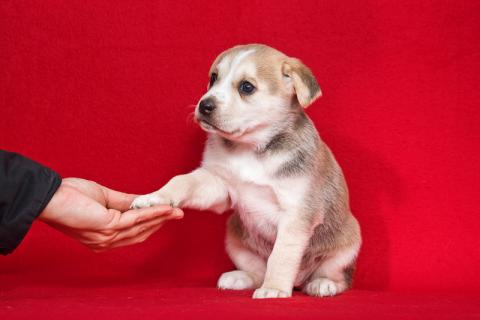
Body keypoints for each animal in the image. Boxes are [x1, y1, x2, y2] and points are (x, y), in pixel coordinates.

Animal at [131, 43, 360, 298]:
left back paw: (322, 283)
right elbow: (182, 181)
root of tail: (299, 281)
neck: (250, 149)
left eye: (246, 87)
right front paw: (156, 197)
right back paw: (240, 277)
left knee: (338, 275)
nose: (204, 105)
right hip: (234, 235)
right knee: (257, 269)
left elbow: (280, 257)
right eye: (213, 78)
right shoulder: (218, 184)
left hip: (349, 242)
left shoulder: (296, 214)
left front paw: (274, 288)